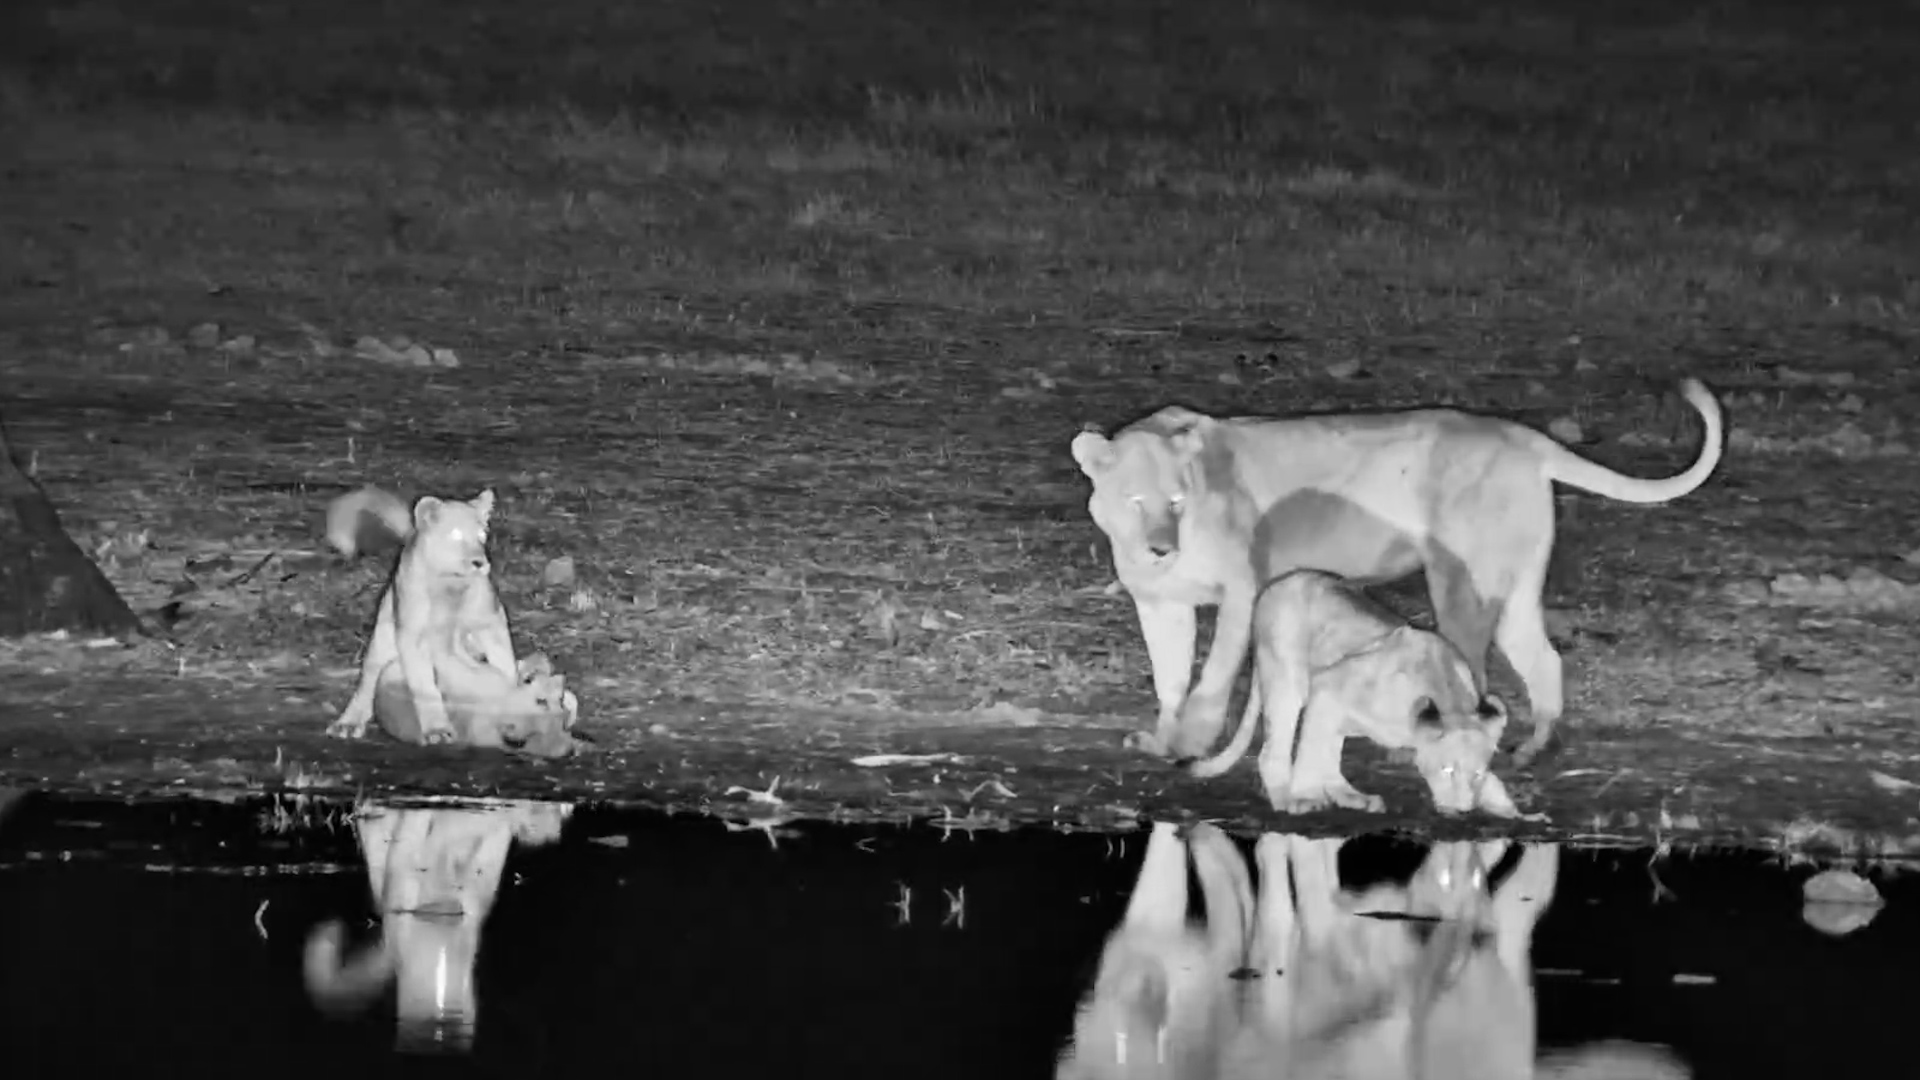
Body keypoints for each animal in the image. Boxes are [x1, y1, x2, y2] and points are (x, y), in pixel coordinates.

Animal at [326, 489, 519, 745]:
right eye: (455, 535)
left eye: (482, 535)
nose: (480, 562)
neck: (450, 583)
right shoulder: (413, 636)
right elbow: (424, 685)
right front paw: (437, 730)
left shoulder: (490, 624)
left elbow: (505, 664)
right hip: (383, 640)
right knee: (368, 681)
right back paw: (348, 723)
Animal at [1069, 378, 1723, 766]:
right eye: (1136, 501)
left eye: (1177, 502)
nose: (1160, 550)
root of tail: (1524, 437)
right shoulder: (1159, 603)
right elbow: (1170, 677)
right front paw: (1161, 739)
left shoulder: (1241, 587)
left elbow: (1212, 676)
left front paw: (1192, 742)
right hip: (1512, 585)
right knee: (1542, 658)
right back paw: (1532, 749)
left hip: (1461, 581)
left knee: (1474, 667)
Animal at [1189, 569, 1525, 819]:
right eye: (1447, 769)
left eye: (1477, 774)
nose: (1462, 810)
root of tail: (1276, 584)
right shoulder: (1327, 684)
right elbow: (1308, 753)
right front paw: (1305, 795)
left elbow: (1321, 751)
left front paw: (1507, 807)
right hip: (1287, 678)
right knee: (1276, 749)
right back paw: (1287, 798)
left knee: (1328, 753)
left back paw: (1352, 797)